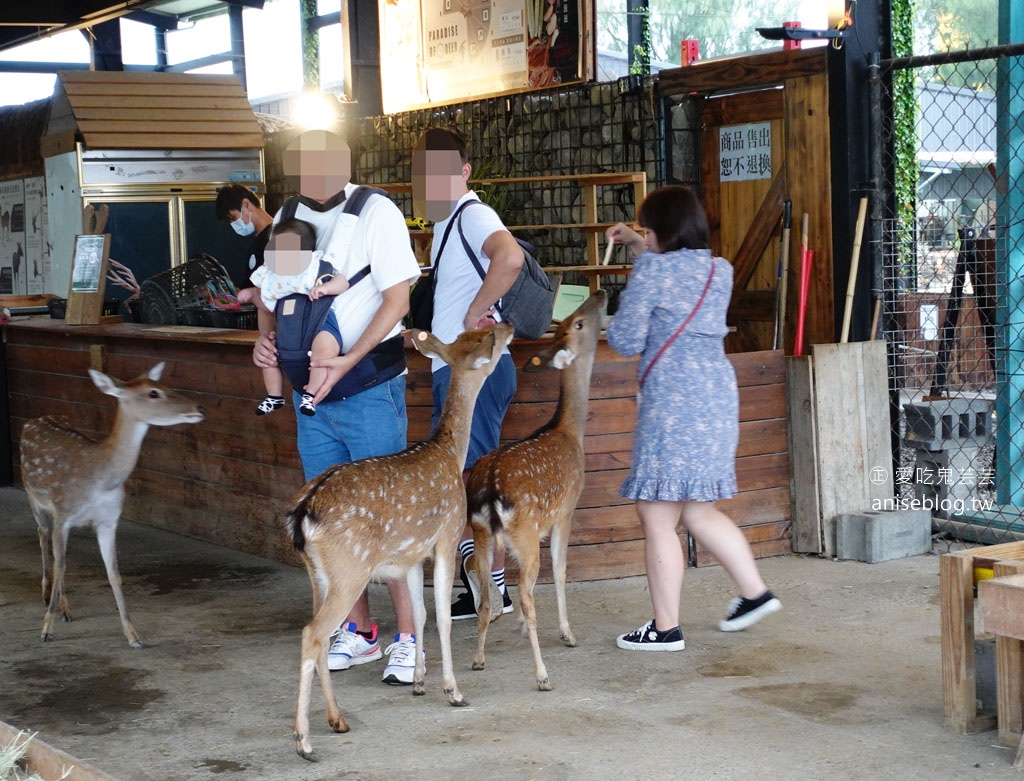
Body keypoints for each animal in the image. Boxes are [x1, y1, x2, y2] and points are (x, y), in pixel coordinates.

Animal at [20, 364, 203, 651]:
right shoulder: (64, 512)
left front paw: (133, 635)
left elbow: (114, 573)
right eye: (153, 392)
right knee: (43, 537)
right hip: (33, 495)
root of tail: (34, 419)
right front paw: (45, 630)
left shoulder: (109, 520)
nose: (198, 407)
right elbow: (61, 565)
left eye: (165, 384)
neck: (101, 479)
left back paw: (64, 608)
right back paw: (48, 596)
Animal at [286, 321, 512, 761]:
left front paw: (420, 682)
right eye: (488, 340)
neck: (449, 453)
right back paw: (304, 741)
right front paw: (453, 691)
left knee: (318, 637)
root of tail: (303, 514)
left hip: (317, 575)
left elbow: (420, 615)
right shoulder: (445, 535)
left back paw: (338, 720)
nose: (508, 325)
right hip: (349, 568)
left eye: (476, 333)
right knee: (312, 634)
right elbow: (441, 616)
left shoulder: (410, 555)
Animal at [466, 292, 602, 691]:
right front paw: (567, 633)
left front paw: (520, 630)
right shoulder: (565, 511)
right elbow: (559, 570)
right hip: (523, 531)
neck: (569, 432)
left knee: (484, 593)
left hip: (483, 532)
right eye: (578, 323)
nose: (602, 294)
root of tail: (490, 488)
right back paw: (542, 674)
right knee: (526, 594)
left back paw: (478, 659)